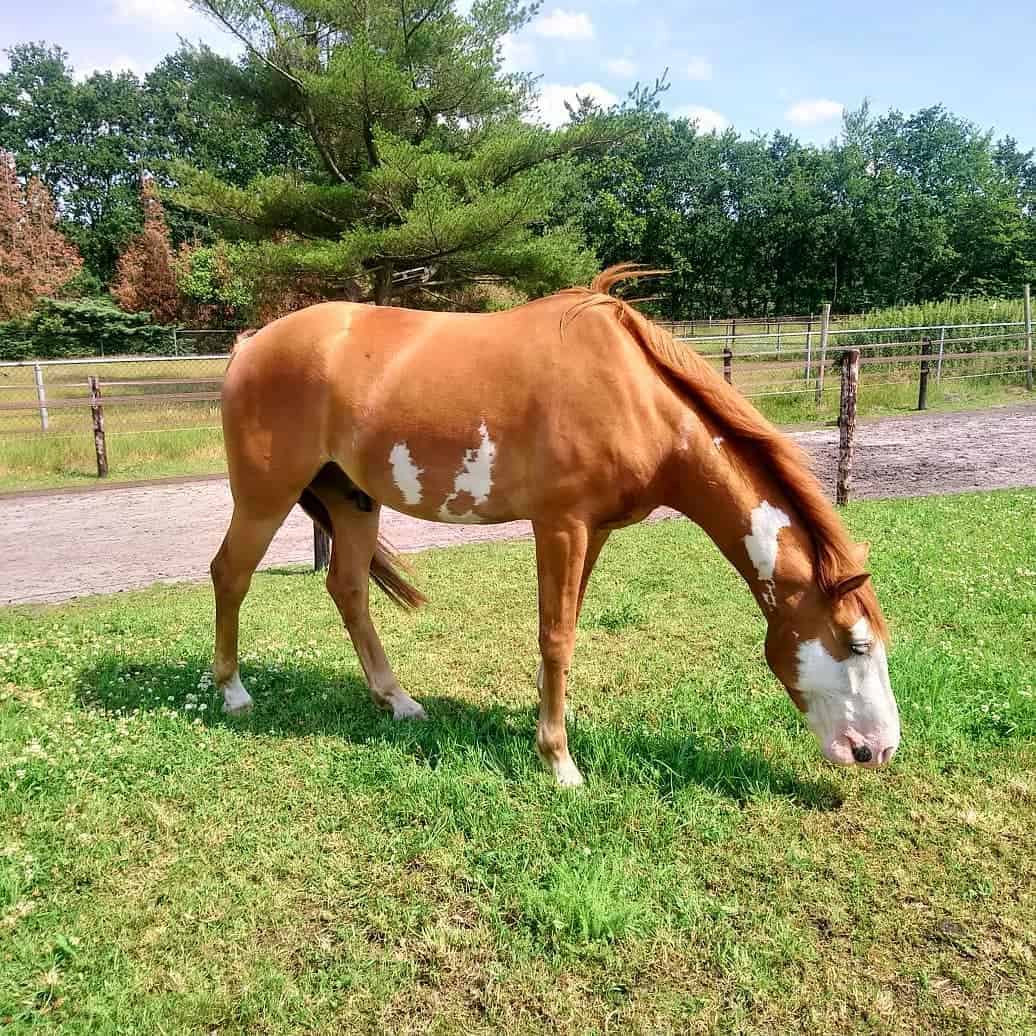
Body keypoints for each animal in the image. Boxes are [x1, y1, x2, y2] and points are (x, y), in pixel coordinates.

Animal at [211, 265, 900, 786]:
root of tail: (250, 344)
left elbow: (564, 631)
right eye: (855, 644)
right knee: (231, 575)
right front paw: (561, 762)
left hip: (352, 498)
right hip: (265, 497)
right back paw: (234, 694)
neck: (634, 396)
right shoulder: (561, 526)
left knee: (349, 589)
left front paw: (543, 732)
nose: (879, 749)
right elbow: (556, 637)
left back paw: (398, 701)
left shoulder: (593, 532)